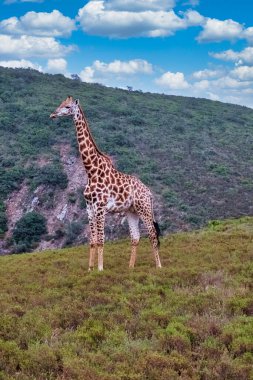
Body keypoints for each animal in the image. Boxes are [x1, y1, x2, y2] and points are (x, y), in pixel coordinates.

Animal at [50, 96, 162, 272]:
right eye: (60, 104)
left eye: (67, 107)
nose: (53, 114)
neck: (91, 171)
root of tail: (149, 192)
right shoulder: (89, 208)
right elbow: (92, 241)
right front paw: (90, 269)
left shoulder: (101, 208)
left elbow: (101, 240)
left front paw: (100, 268)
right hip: (132, 211)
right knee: (136, 237)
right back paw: (130, 268)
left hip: (145, 209)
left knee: (152, 235)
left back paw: (159, 266)